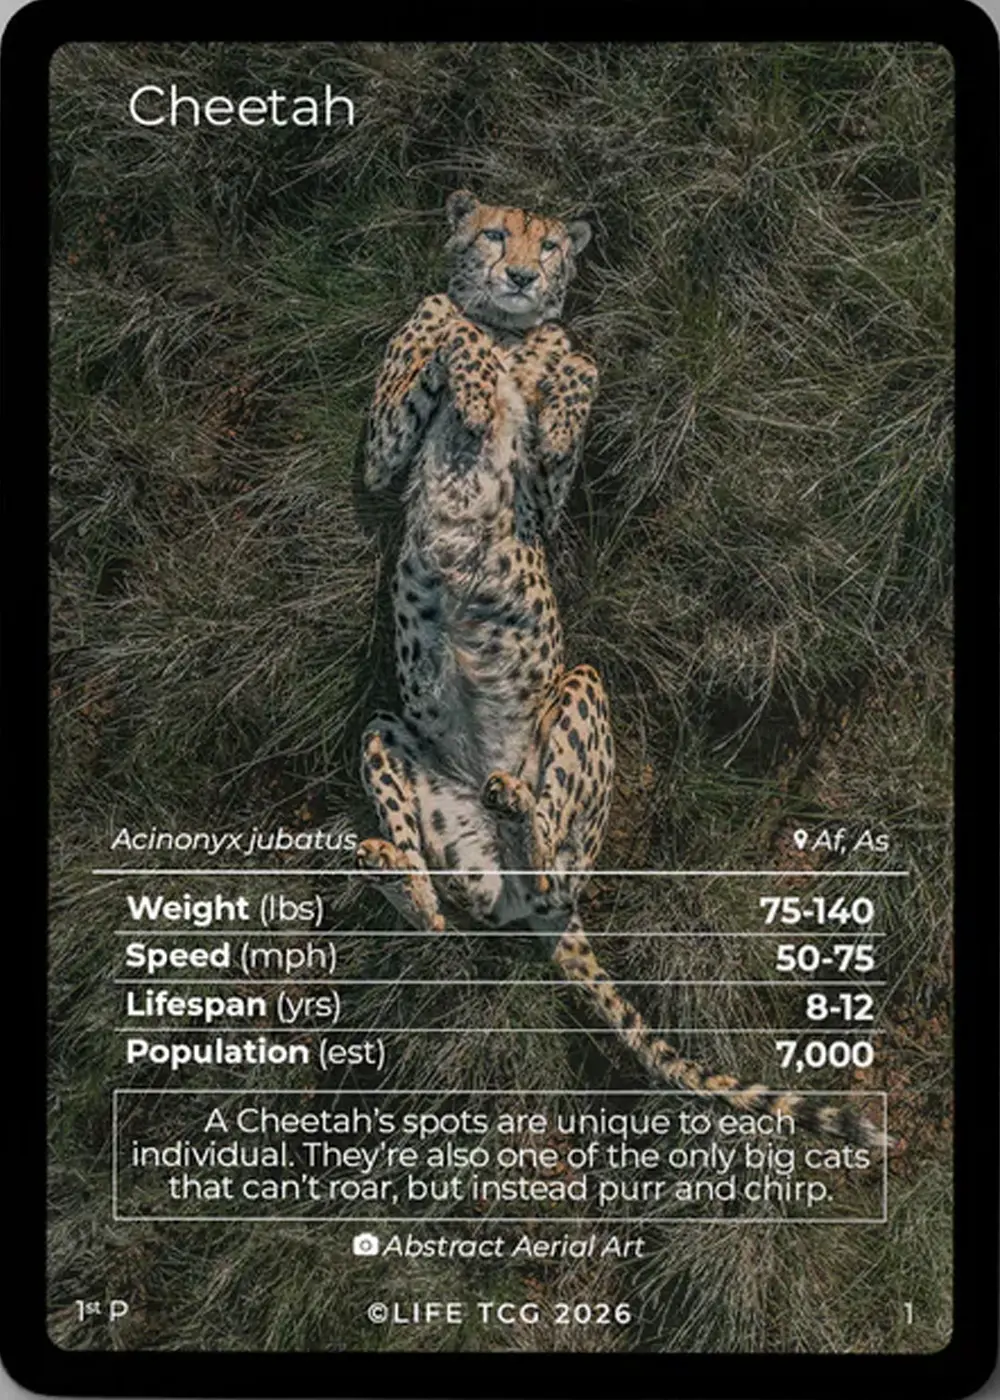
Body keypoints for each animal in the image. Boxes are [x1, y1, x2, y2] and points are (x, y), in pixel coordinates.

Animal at [356, 190, 887, 1152]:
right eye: (497, 234)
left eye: (551, 247)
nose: (520, 276)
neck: (509, 336)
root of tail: (533, 910)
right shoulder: (384, 458)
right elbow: (436, 325)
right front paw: (463, 337)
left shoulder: (544, 496)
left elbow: (574, 370)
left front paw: (555, 371)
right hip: (392, 737)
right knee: (441, 907)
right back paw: (393, 862)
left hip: (583, 685)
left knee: (557, 863)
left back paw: (515, 807)